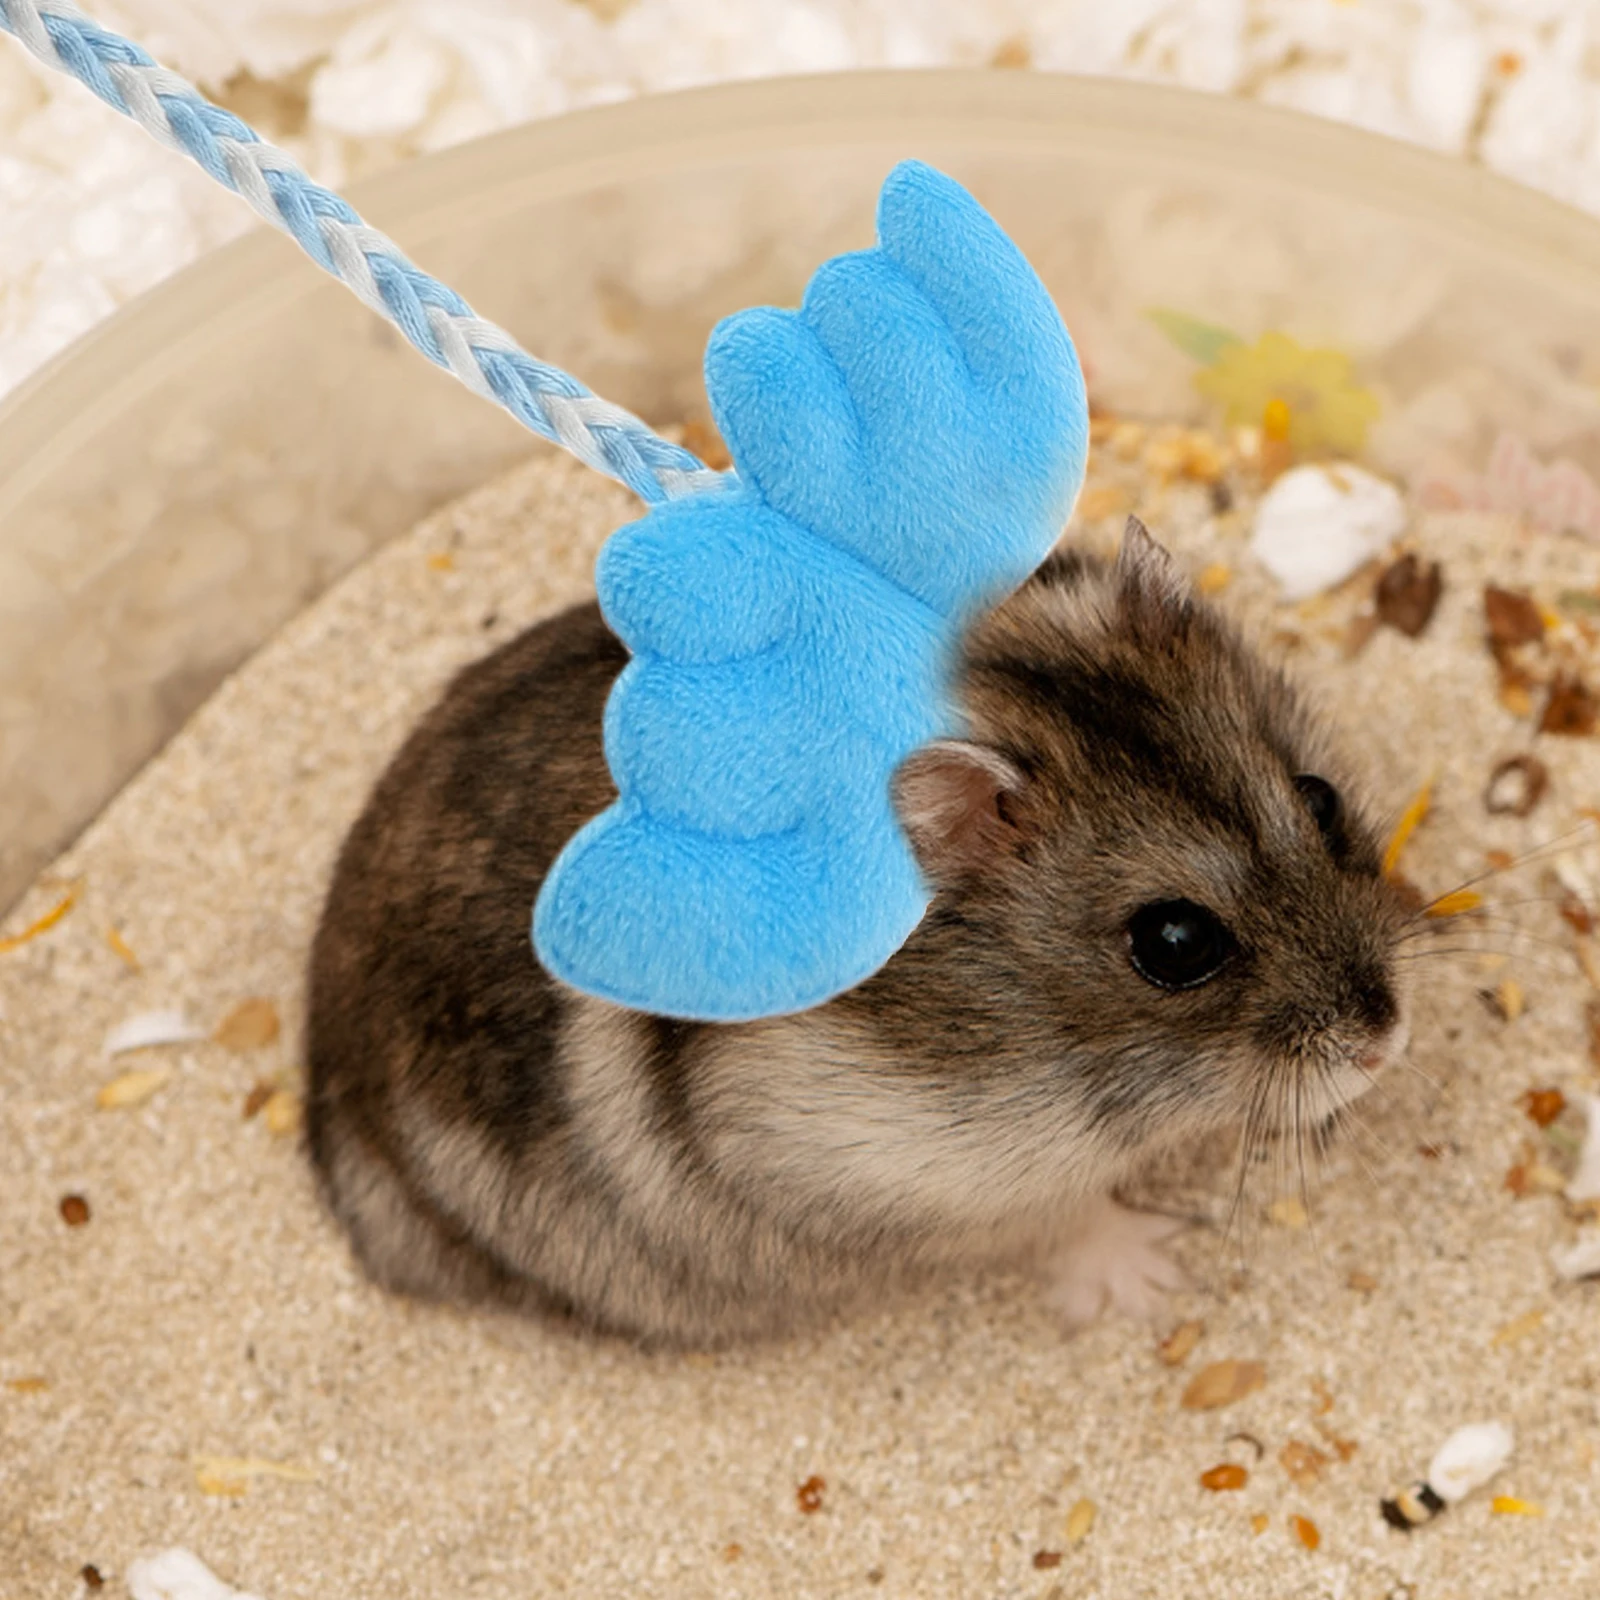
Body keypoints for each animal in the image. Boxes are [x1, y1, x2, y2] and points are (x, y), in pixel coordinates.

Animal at [304, 518, 1412, 1348]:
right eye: (1174, 943)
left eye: (1319, 799)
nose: (1385, 1043)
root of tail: (321, 1067)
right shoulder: (931, 1184)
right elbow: (1071, 1221)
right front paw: (1154, 1275)